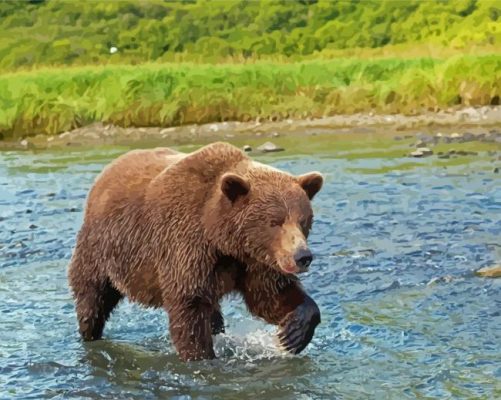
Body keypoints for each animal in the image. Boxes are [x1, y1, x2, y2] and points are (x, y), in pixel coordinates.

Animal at [67, 142, 324, 360]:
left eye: (303, 220)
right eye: (274, 222)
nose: (302, 257)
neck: (221, 238)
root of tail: (106, 172)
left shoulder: (253, 261)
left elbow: (270, 295)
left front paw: (293, 334)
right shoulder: (185, 245)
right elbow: (189, 307)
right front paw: (202, 356)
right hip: (103, 248)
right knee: (93, 297)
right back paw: (90, 335)